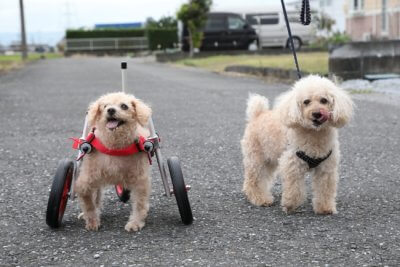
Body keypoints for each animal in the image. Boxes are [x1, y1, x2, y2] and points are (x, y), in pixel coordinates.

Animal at [241, 75, 354, 216]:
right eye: (306, 101)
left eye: (324, 100)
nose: (317, 113)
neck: (314, 135)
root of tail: (258, 114)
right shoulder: (293, 164)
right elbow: (294, 189)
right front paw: (290, 205)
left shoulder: (326, 168)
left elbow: (325, 190)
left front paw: (325, 208)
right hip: (256, 157)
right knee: (253, 179)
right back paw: (260, 198)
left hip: (270, 159)